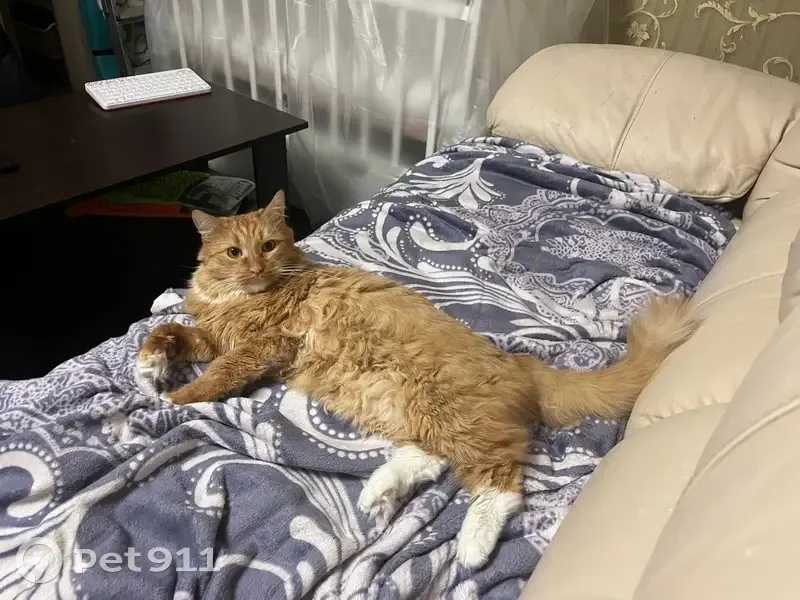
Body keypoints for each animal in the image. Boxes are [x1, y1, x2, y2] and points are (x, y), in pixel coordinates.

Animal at [136, 190, 696, 569]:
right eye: (235, 253)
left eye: (269, 246)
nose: (254, 267)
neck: (239, 299)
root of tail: (519, 363)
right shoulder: (214, 335)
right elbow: (167, 329)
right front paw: (149, 365)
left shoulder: (262, 347)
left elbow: (217, 376)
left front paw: (180, 399)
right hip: (414, 411)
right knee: (432, 459)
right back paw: (379, 492)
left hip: (444, 411)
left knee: (500, 481)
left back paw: (470, 544)